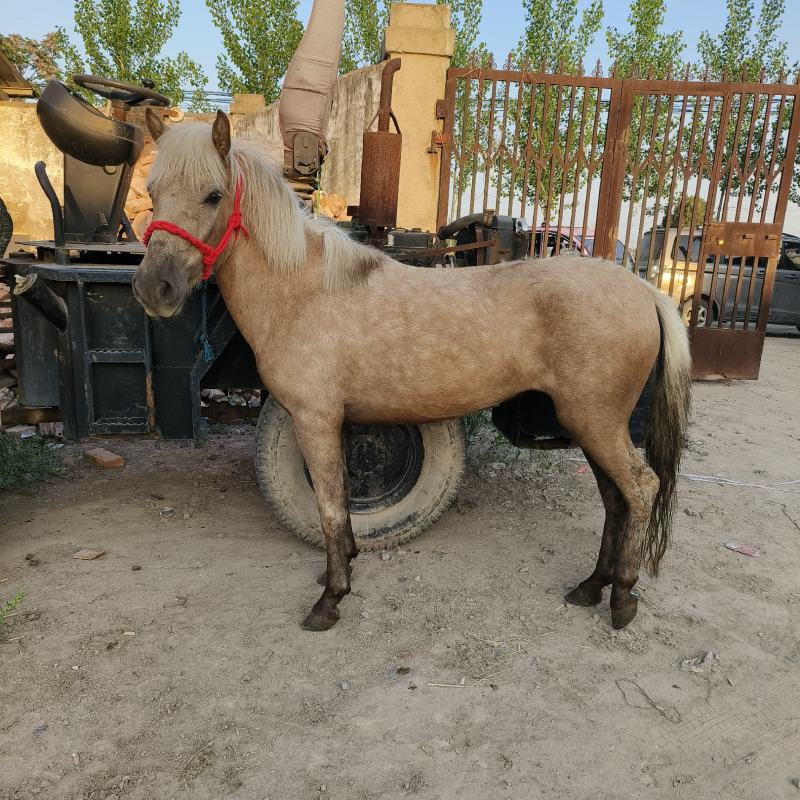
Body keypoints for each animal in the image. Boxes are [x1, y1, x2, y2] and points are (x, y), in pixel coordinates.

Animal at [133, 109, 691, 633]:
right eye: (154, 191)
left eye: (213, 195)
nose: (153, 288)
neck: (305, 289)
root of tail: (646, 291)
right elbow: (338, 507)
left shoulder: (315, 419)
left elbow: (331, 506)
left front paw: (330, 599)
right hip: (591, 424)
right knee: (617, 500)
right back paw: (591, 586)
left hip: (596, 422)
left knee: (640, 489)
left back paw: (621, 598)